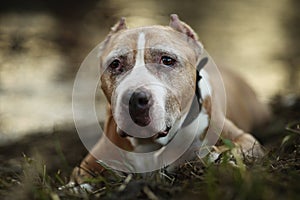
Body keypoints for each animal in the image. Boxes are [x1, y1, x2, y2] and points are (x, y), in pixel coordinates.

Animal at [64, 14, 270, 191]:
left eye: (167, 60)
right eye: (115, 64)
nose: (134, 98)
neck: (149, 142)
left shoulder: (245, 140)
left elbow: (230, 148)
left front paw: (215, 156)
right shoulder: (89, 163)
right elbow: (79, 179)